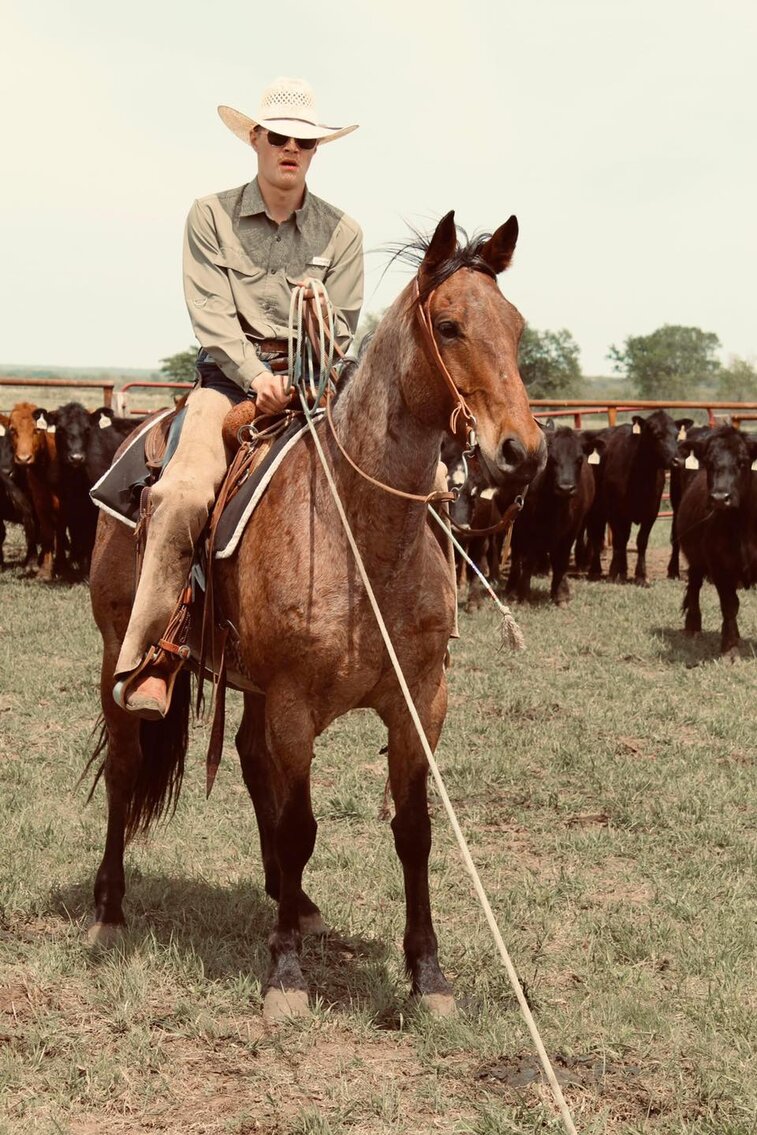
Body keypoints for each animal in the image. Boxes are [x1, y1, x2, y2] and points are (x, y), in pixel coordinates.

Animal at [87, 211, 546, 1020]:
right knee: (126, 767)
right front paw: (287, 974)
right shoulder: (296, 702)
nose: (522, 453)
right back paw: (111, 911)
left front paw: (428, 976)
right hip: (122, 650)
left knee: (245, 758)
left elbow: (413, 832)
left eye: (516, 327)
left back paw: (292, 901)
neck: (360, 533)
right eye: (450, 325)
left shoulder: (420, 700)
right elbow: (300, 824)